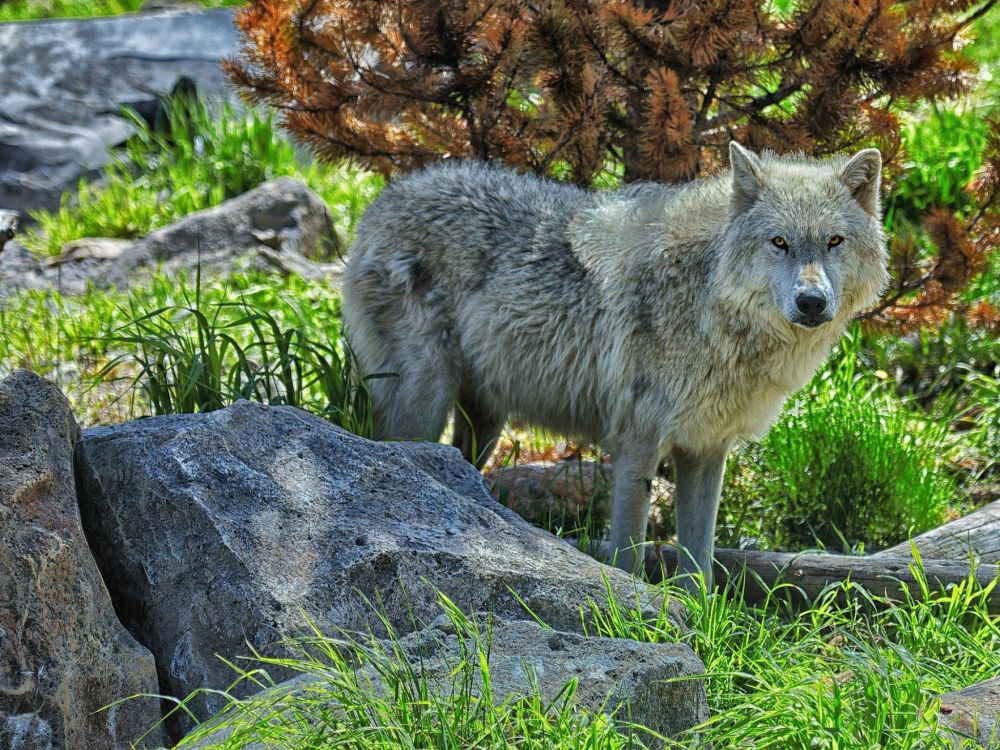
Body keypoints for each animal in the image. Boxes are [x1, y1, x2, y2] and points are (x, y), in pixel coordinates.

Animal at [341, 142, 889, 586]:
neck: (708, 300)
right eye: (779, 243)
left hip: (484, 426)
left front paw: (699, 624)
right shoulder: (637, 443)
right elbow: (628, 550)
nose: (812, 302)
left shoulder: (706, 450)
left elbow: (700, 564)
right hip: (426, 403)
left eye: (834, 241)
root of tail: (383, 200)